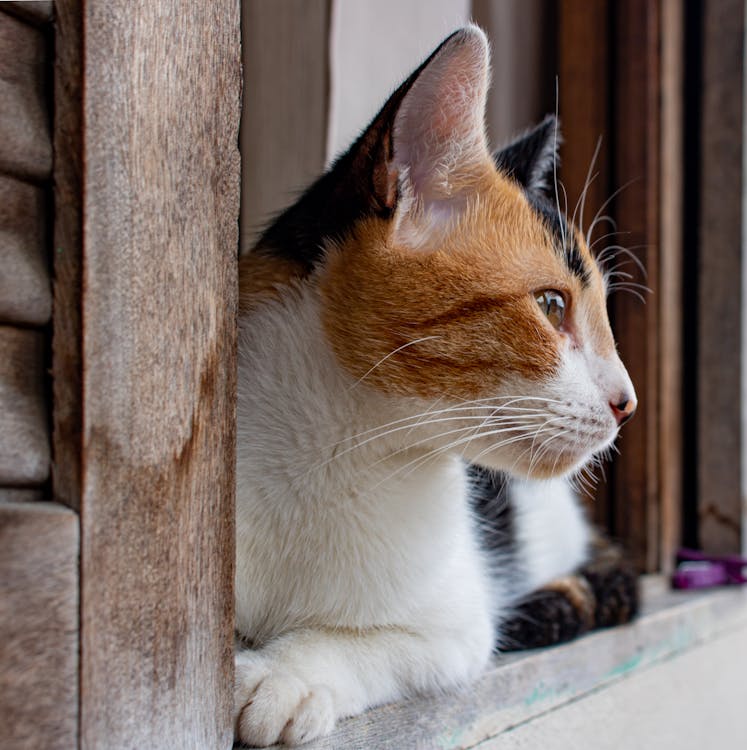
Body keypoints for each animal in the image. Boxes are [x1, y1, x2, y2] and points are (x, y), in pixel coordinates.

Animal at [234, 26, 636, 748]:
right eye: (552, 306)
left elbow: (380, 643)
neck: (332, 451)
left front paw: (284, 675)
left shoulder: (456, 625)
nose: (628, 403)